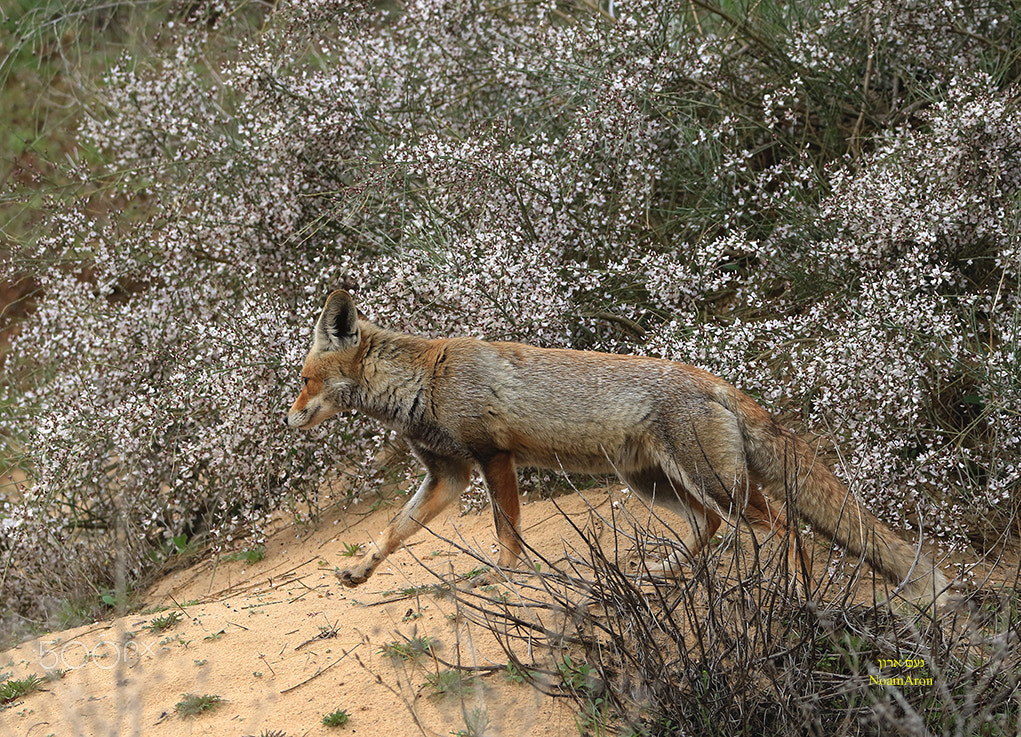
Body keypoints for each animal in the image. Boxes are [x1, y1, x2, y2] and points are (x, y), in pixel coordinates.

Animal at [286, 290, 949, 606]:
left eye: (305, 380)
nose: (289, 419)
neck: (426, 381)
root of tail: (718, 381)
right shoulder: (448, 474)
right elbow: (394, 531)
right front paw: (359, 570)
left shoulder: (493, 459)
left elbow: (507, 534)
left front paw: (504, 579)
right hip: (654, 483)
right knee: (710, 527)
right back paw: (670, 576)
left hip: (710, 482)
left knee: (785, 528)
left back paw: (789, 588)